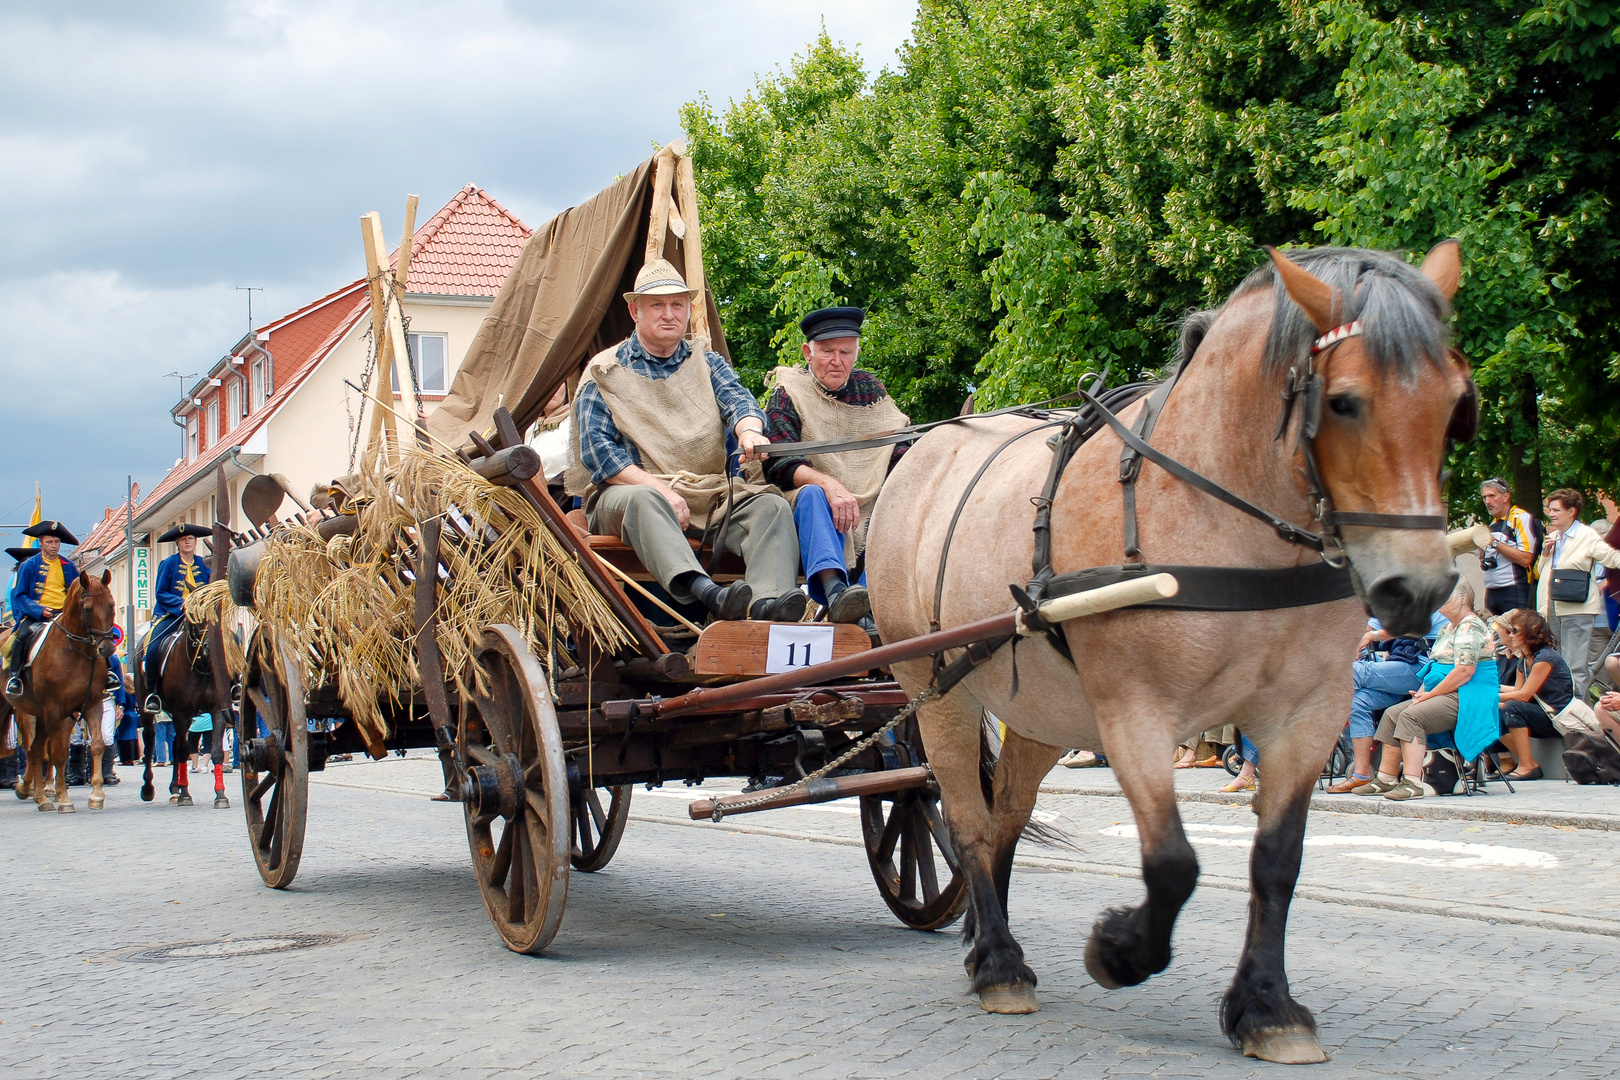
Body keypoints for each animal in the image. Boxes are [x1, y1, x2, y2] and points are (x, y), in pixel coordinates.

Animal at [3, 573, 119, 809]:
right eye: (88, 609)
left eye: (111, 605)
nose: (107, 648)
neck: (75, 653)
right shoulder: (54, 710)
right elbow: (58, 753)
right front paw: (64, 799)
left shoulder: (90, 705)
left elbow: (97, 745)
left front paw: (96, 795)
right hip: (25, 712)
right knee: (32, 749)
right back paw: (33, 790)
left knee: (37, 749)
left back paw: (39, 795)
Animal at [136, 608, 233, 809]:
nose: (212, 648)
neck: (201, 665)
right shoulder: (180, 712)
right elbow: (183, 751)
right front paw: (186, 795)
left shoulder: (218, 710)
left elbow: (216, 752)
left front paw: (220, 795)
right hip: (147, 709)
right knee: (149, 741)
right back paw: (148, 788)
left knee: (173, 744)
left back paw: (175, 788)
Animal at [868, 241, 1477, 1062]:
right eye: (1345, 401)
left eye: (1455, 404)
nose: (1417, 588)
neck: (1219, 520)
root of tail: (922, 449)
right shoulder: (1136, 714)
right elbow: (1173, 863)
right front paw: (1119, 950)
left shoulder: (1308, 714)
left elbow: (1277, 861)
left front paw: (1266, 1007)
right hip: (939, 690)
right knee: (963, 815)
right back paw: (997, 963)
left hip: (1041, 710)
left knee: (1003, 819)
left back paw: (987, 945)